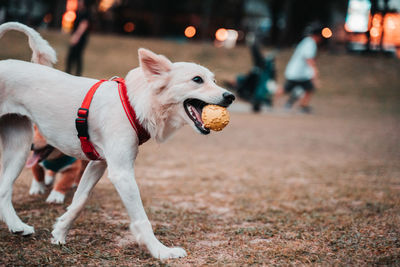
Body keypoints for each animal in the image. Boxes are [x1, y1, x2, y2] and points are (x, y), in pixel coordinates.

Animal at [0, 23, 234, 262]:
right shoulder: (122, 173)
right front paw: (160, 251)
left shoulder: (98, 164)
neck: (133, 103)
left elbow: (79, 200)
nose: (231, 96)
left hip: (19, 149)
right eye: (197, 79)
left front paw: (60, 232)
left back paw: (18, 226)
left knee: (4, 191)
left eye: (214, 80)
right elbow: (141, 219)